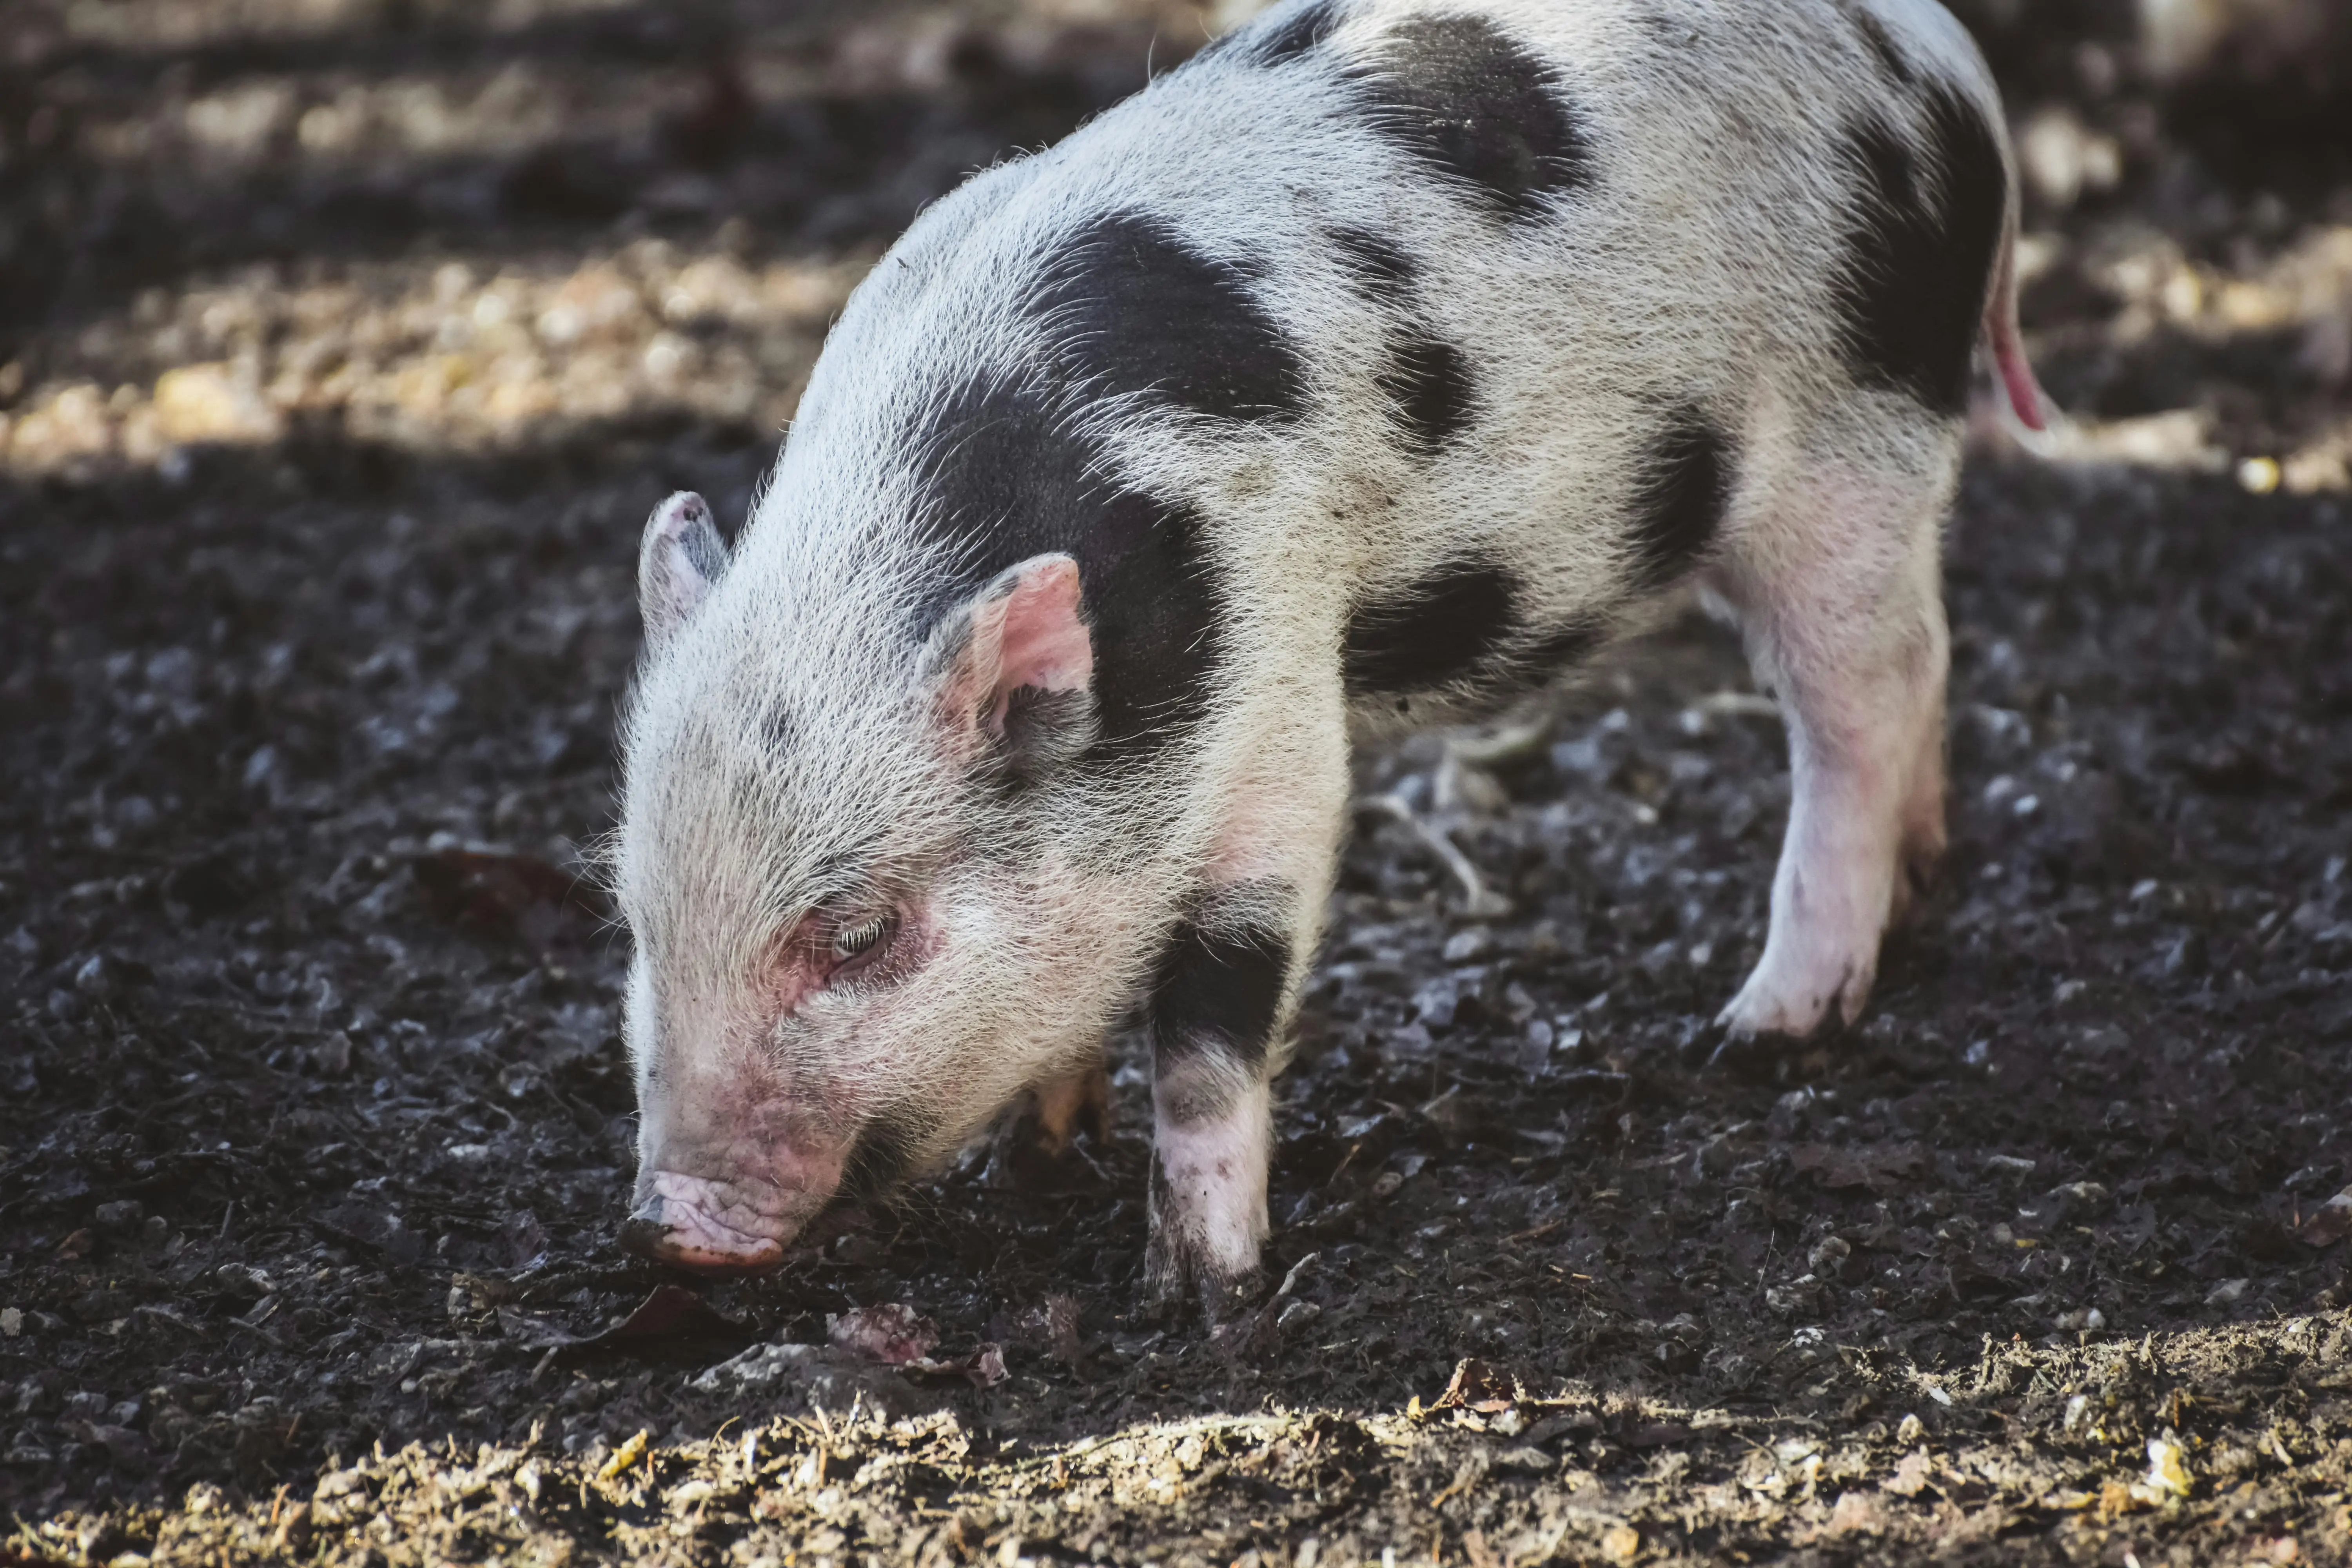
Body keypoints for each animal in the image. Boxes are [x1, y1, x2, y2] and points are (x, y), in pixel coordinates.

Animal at [613, 0, 2049, 1317]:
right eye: (635, 916)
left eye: (861, 933)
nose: (675, 1225)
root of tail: (1947, 59)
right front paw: (1046, 1152)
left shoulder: (1275, 689)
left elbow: (1217, 1002)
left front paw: (1200, 1294)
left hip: (1854, 447)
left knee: (1868, 698)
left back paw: (1762, 1030)